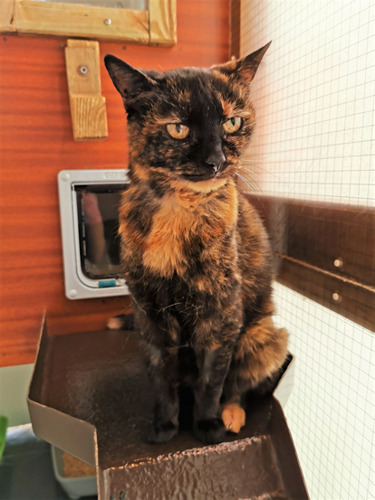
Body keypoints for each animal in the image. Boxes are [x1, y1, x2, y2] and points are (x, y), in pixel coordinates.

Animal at [104, 41, 290, 444]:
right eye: (178, 129)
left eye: (232, 122)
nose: (216, 161)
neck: (177, 211)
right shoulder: (149, 314)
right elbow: (161, 378)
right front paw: (164, 426)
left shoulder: (221, 314)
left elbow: (212, 380)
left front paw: (207, 425)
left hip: (266, 336)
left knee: (239, 384)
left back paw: (231, 414)